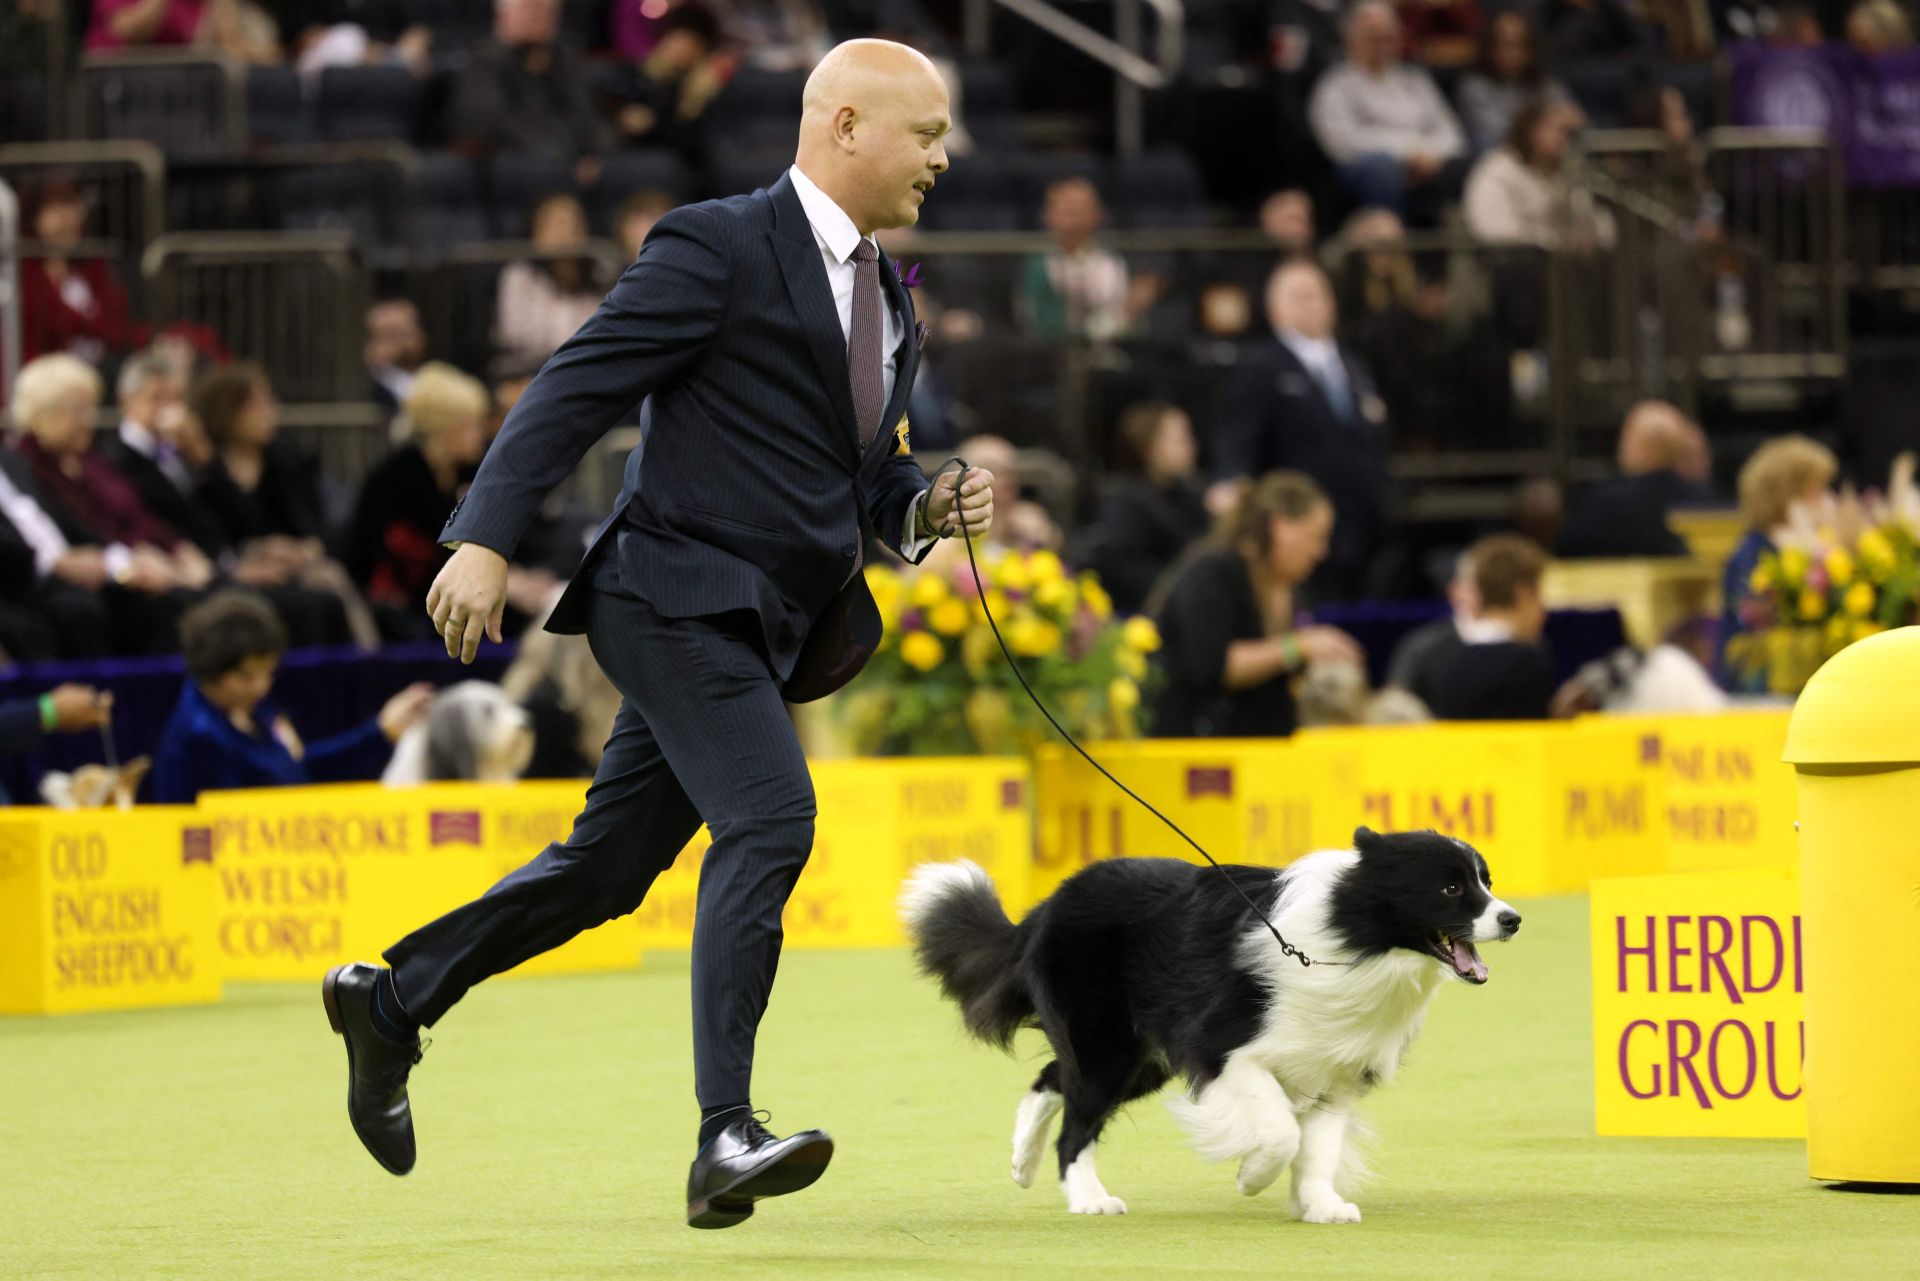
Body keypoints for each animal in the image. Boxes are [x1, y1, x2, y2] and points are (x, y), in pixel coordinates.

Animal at [898, 833, 1512, 1221]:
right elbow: (1282, 1131)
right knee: (1077, 1121)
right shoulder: (1222, 1049)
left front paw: (1320, 1207)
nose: (1513, 918)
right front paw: (1253, 1177)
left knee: (1053, 1078)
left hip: (1139, 1054)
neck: (1348, 939)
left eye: (1486, 880)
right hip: (1111, 1047)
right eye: (1450, 888)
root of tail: (1046, 906)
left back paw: (1022, 1160)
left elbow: (1320, 1145)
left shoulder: (1335, 1065)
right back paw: (1090, 1200)